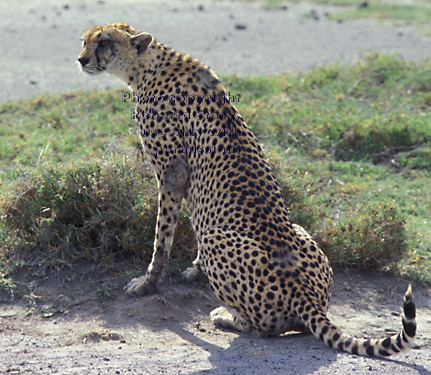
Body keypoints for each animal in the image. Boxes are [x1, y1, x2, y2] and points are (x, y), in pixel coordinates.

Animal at [79, 23, 416, 358]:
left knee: (262, 327)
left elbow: (162, 239)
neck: (149, 65)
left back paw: (226, 316)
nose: (81, 60)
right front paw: (195, 270)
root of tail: (306, 295)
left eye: (104, 42)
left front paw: (147, 284)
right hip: (299, 230)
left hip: (219, 242)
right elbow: (192, 223)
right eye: (84, 41)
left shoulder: (172, 173)